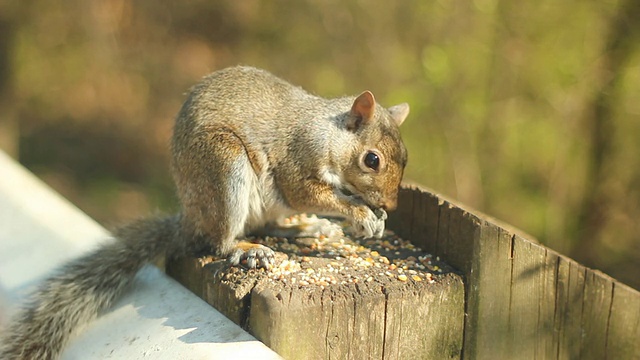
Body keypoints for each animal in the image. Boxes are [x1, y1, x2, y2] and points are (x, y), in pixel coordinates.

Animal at [0, 66, 410, 358]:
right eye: (372, 159)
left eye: (405, 158)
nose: (391, 205)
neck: (331, 135)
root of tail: (191, 219)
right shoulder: (298, 159)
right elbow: (306, 191)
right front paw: (360, 214)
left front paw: (373, 220)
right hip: (223, 166)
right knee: (220, 241)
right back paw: (246, 249)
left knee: (269, 224)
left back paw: (305, 228)